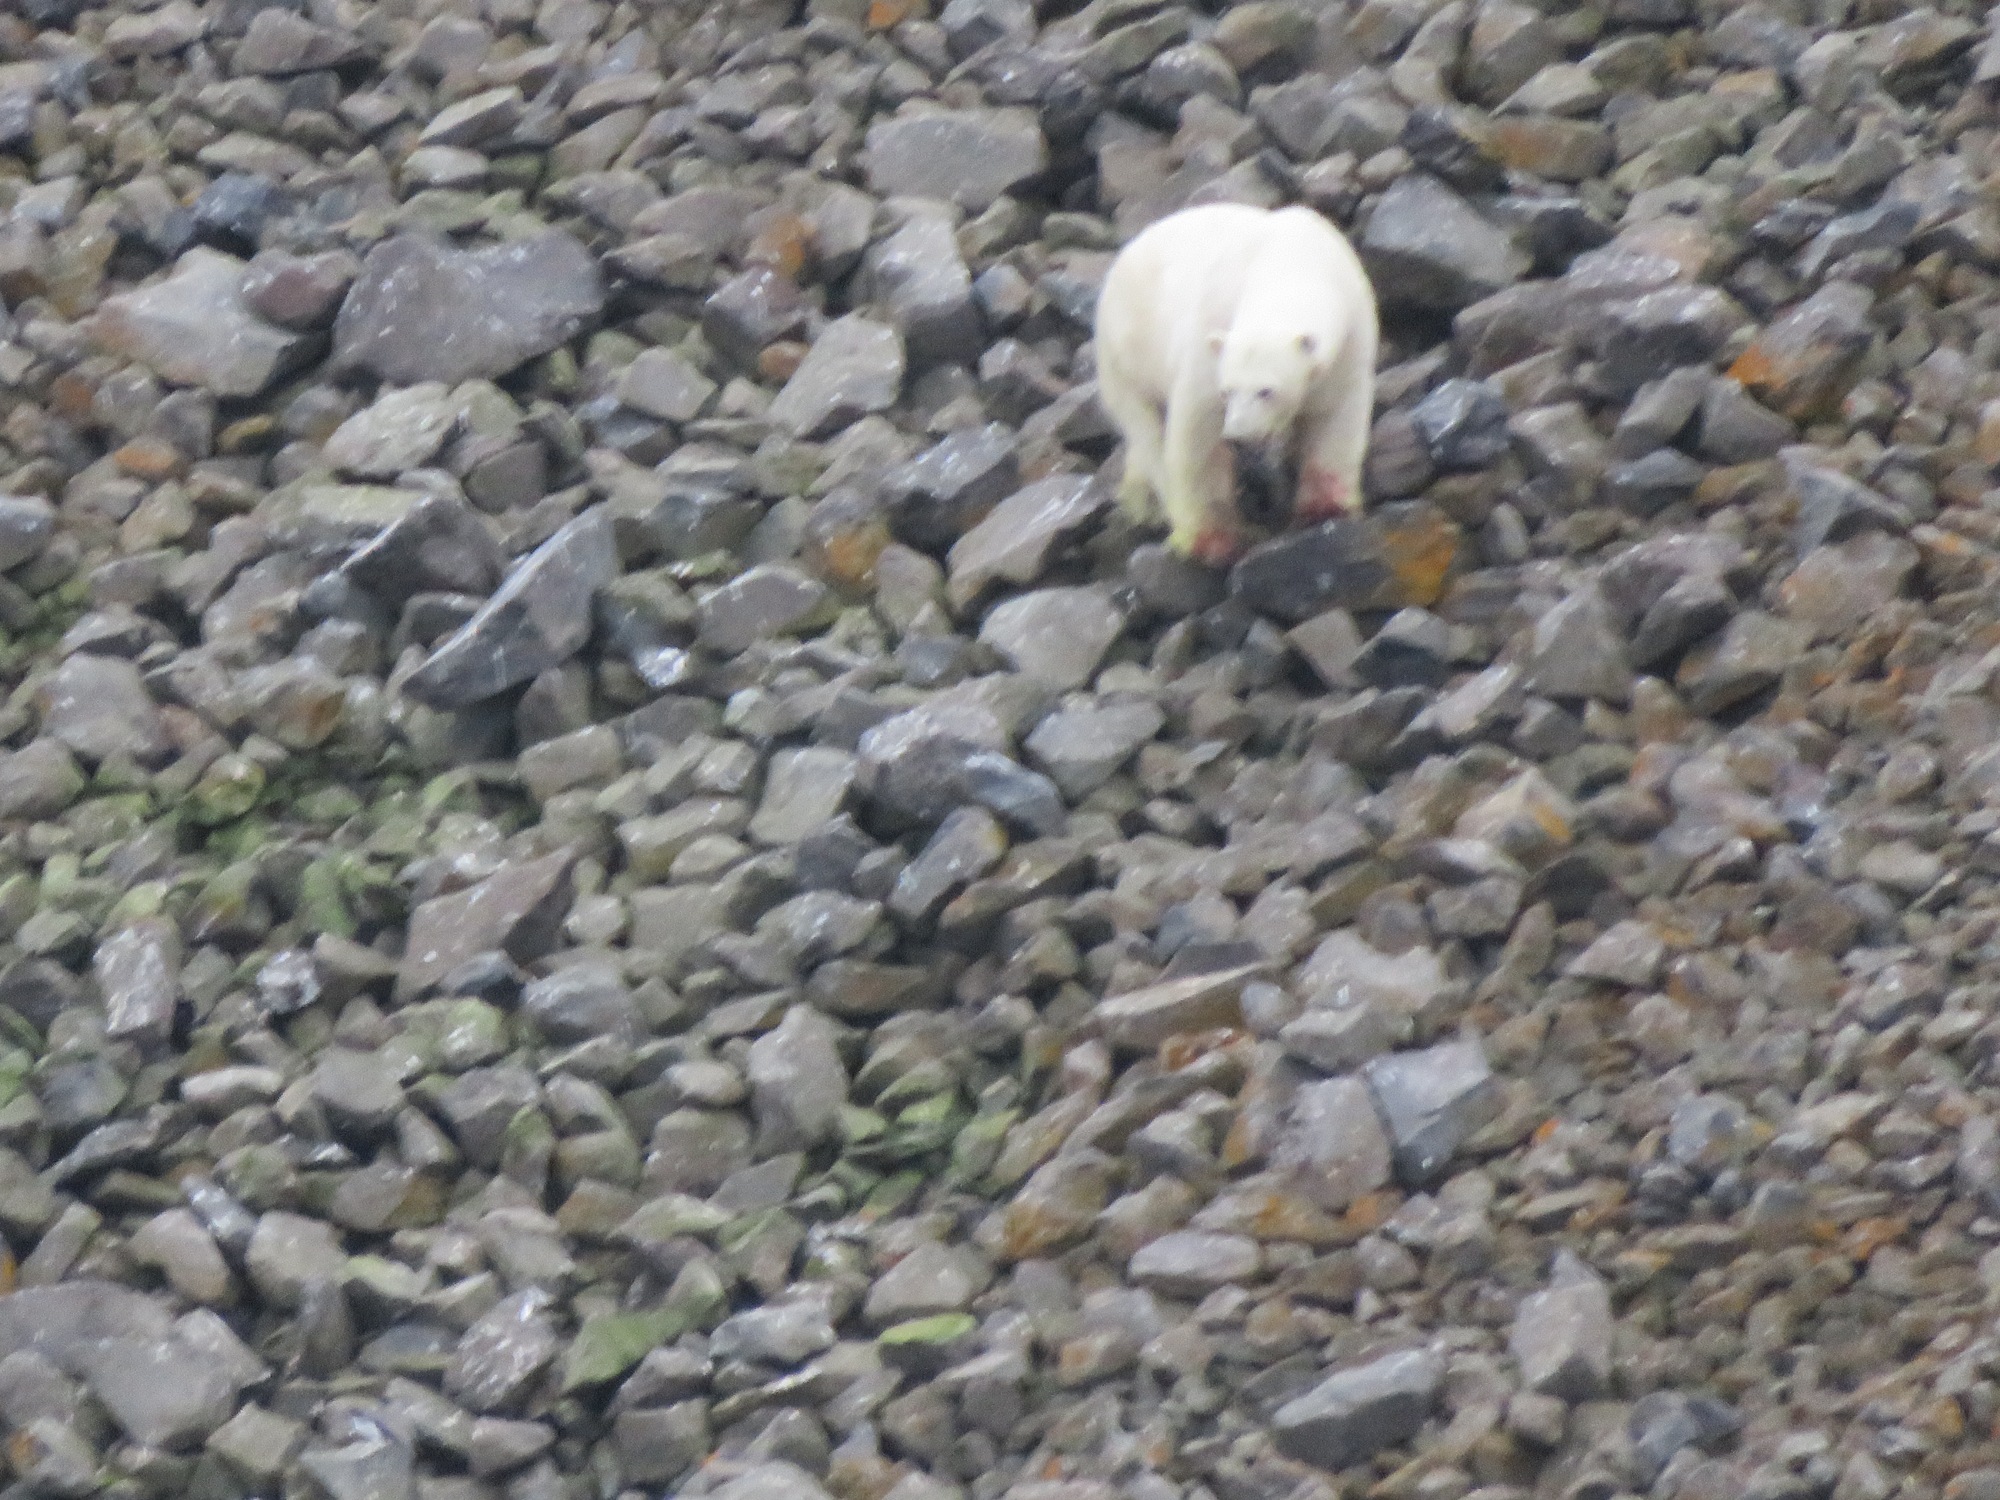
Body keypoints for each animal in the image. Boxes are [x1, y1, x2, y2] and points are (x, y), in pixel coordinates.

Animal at [1093, 202, 1380, 566]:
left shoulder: (1350, 339)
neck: (1290, 260)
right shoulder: (1211, 335)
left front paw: (1325, 509)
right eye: (1227, 390)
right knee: (1146, 429)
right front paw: (1213, 539)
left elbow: (1334, 415)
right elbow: (1198, 432)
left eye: (1266, 391)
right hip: (1125, 353)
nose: (1238, 436)